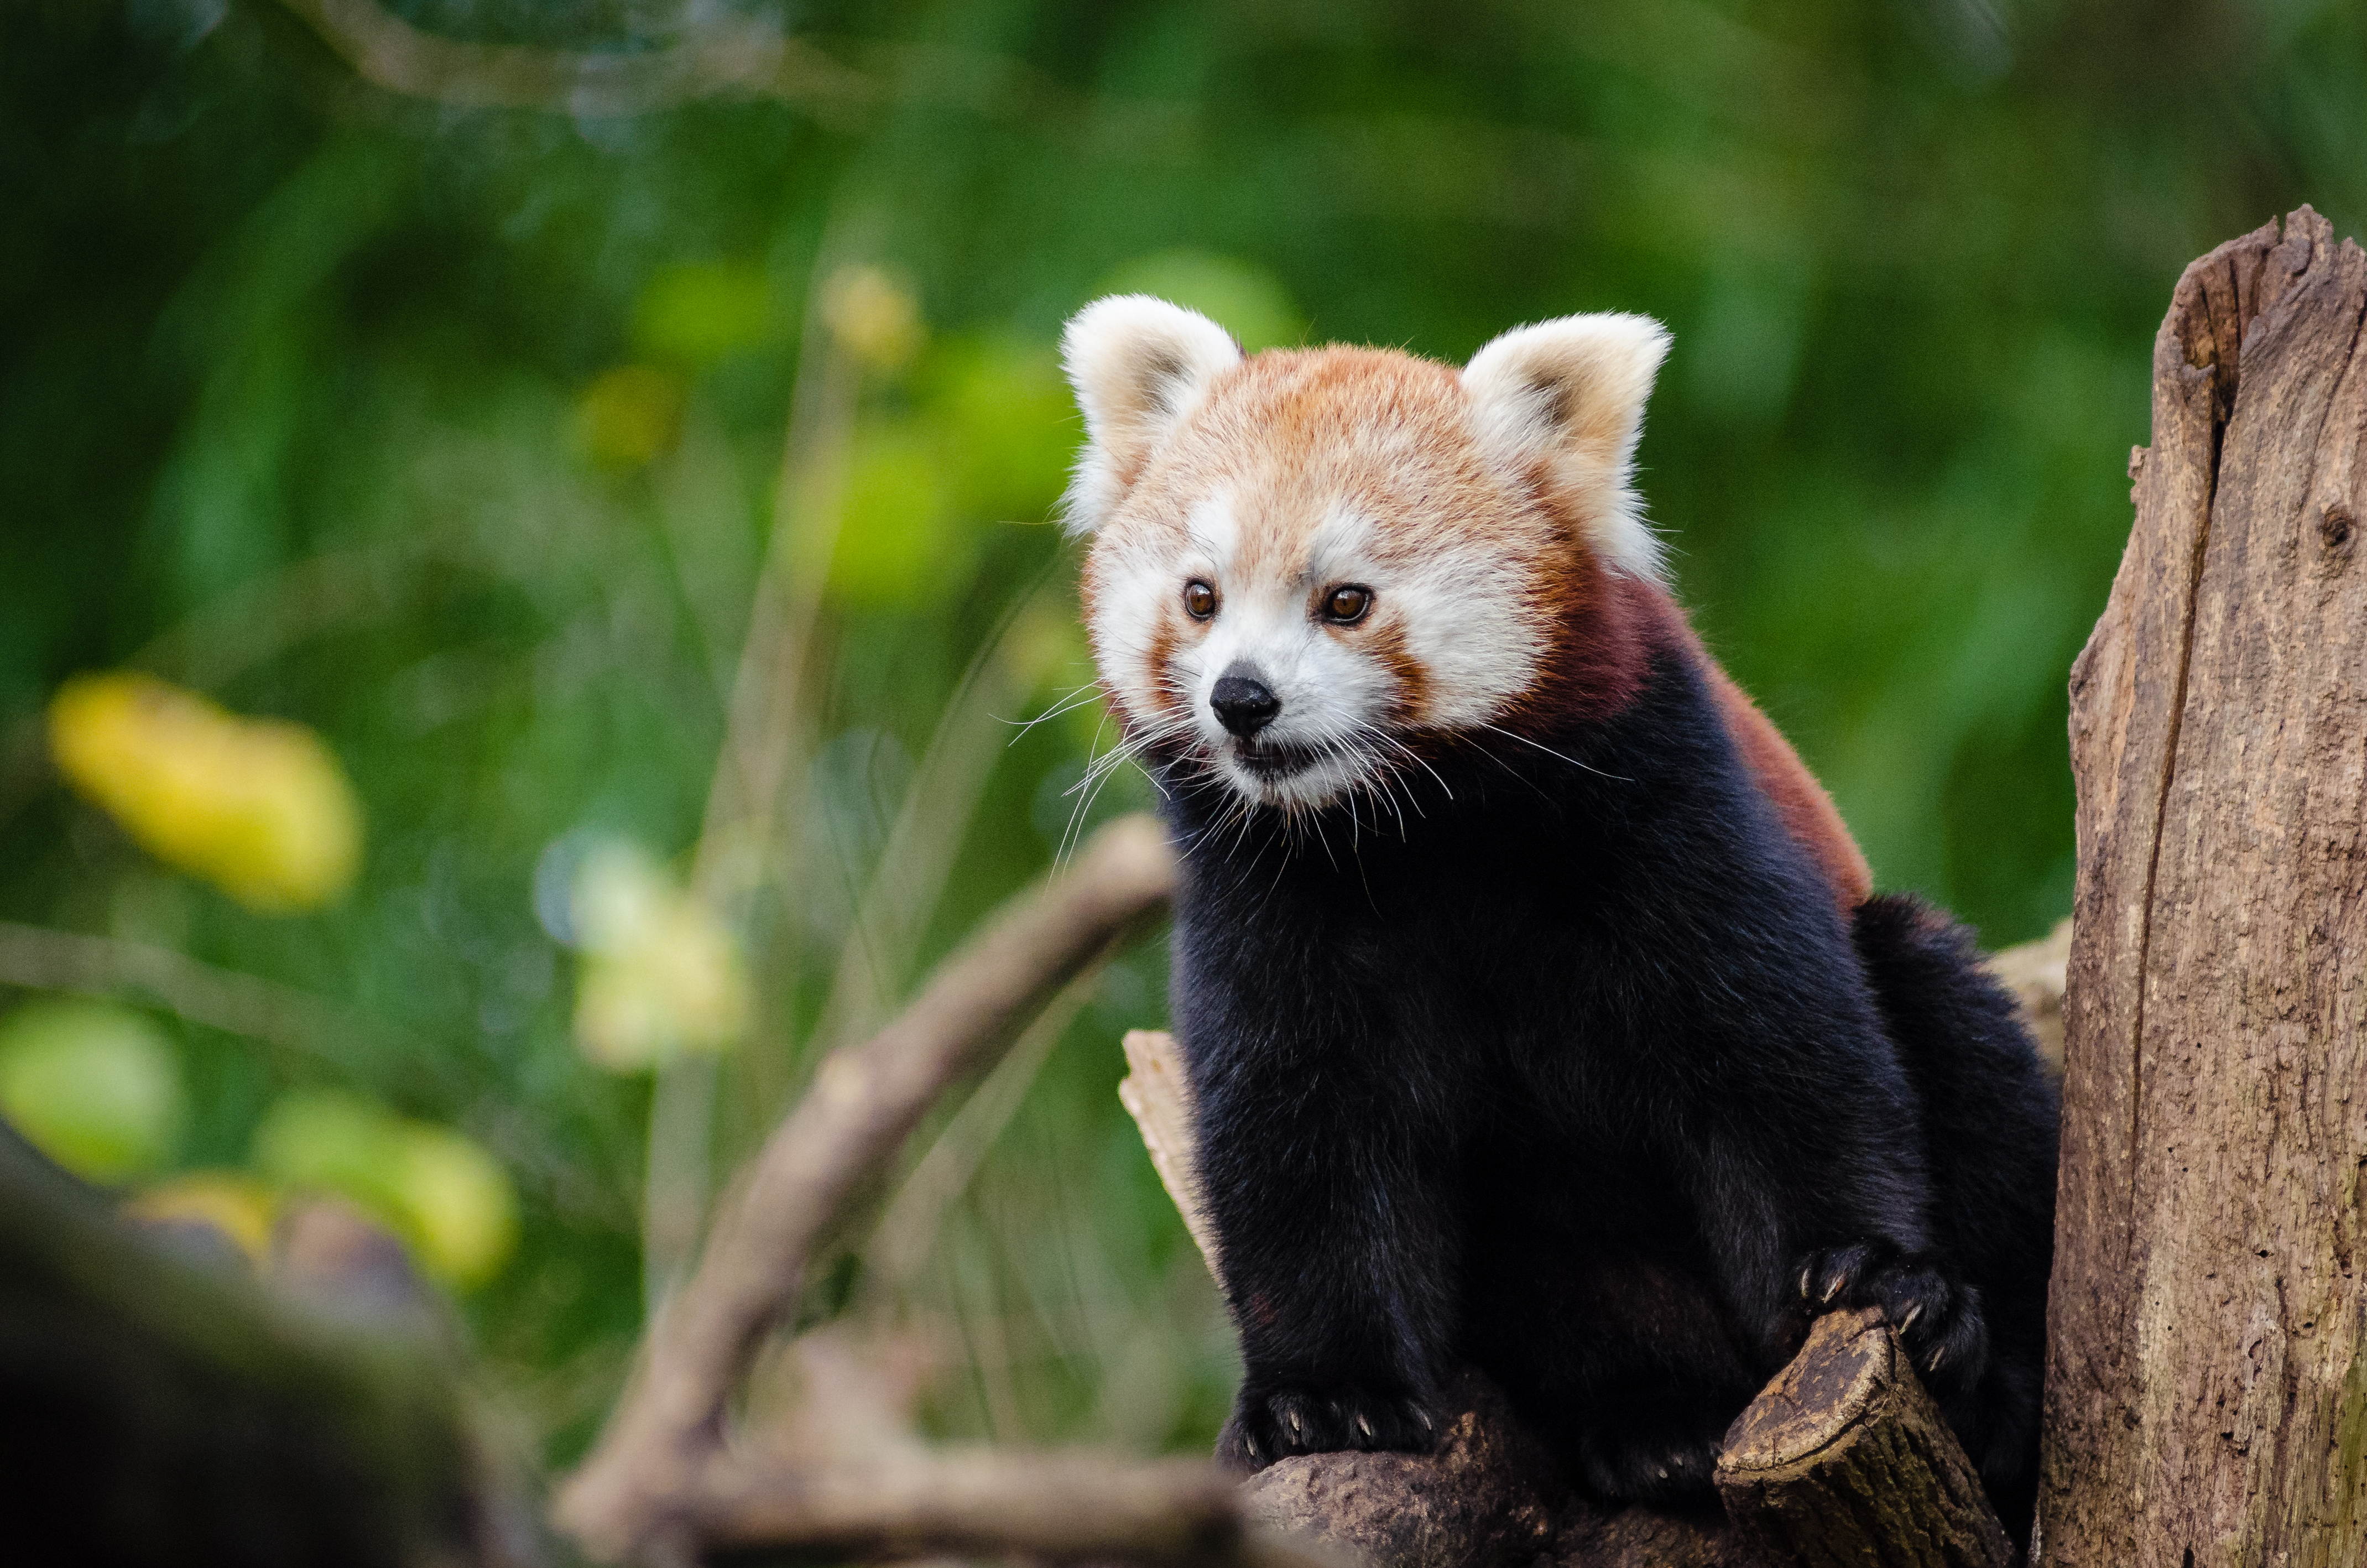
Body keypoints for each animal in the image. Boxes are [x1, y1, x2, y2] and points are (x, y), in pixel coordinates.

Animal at [1065, 298, 2064, 1544]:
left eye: (1345, 601)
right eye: (1200, 596)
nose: (1241, 698)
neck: (1412, 838)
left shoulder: (1665, 804)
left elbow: (1787, 1062)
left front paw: (1876, 1274)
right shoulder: (1267, 904)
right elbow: (1299, 1134)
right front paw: (1321, 1397)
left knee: (1949, 1020)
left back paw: (1983, 1391)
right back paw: (1654, 1422)